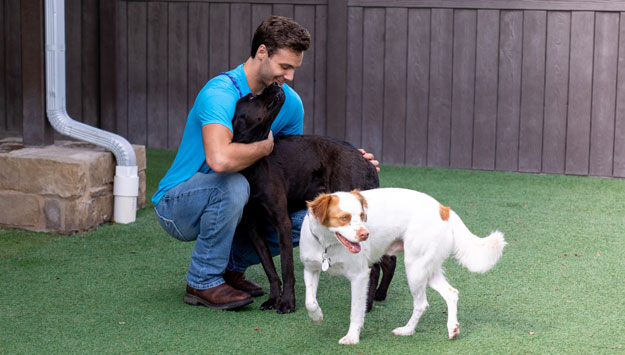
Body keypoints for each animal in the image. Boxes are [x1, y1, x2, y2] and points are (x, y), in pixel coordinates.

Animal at [232, 84, 392, 314]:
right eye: (252, 97)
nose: (275, 84)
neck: (252, 166)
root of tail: (366, 160)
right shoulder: (254, 230)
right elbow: (270, 270)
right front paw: (273, 299)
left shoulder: (282, 223)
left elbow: (286, 268)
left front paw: (287, 302)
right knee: (388, 260)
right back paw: (379, 294)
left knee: (375, 267)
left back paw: (367, 303)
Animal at [300, 188, 504, 346]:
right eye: (344, 218)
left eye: (362, 216)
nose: (366, 234)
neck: (327, 244)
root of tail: (444, 209)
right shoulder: (310, 269)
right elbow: (309, 301)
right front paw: (316, 316)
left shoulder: (359, 276)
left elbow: (356, 311)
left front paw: (352, 337)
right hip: (427, 269)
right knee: (451, 293)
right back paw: (452, 328)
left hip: (415, 268)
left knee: (422, 304)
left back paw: (407, 330)